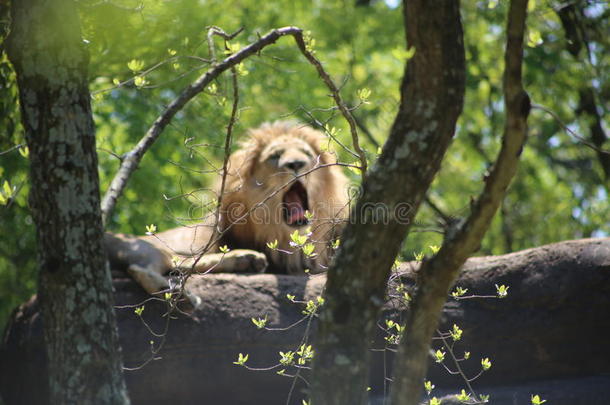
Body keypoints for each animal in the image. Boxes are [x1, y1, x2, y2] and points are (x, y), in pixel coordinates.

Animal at [107, 120, 350, 300]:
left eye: (307, 154)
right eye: (275, 156)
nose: (296, 164)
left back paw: (246, 261)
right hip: (144, 246)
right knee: (150, 266)